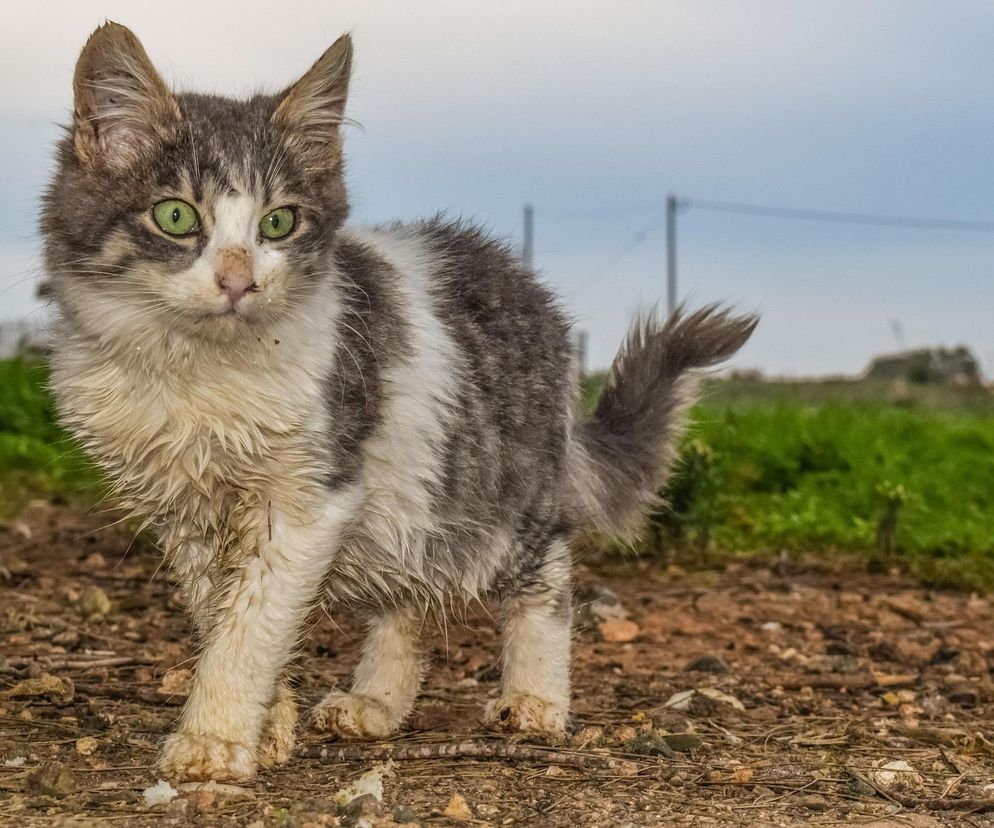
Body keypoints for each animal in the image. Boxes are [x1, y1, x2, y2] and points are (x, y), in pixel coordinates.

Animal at [36, 21, 752, 784]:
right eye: (175, 215)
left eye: (279, 224)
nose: (238, 282)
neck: (196, 373)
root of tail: (532, 289)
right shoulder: (185, 517)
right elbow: (222, 616)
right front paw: (268, 724)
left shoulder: (309, 497)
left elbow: (252, 626)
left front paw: (215, 737)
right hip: (414, 505)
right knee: (410, 602)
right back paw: (376, 701)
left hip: (504, 496)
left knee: (547, 582)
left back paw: (535, 697)